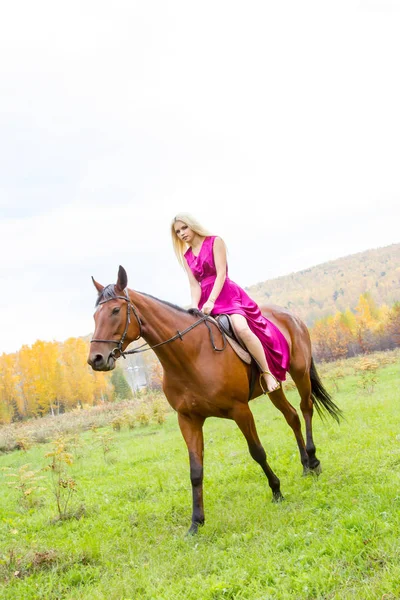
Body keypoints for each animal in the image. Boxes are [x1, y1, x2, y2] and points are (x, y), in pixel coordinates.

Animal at [87, 266, 340, 536]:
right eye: (95, 315)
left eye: (115, 310)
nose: (96, 359)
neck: (192, 355)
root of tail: (290, 316)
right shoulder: (188, 419)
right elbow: (195, 471)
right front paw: (196, 523)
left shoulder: (240, 411)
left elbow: (257, 452)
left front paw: (277, 491)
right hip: (274, 387)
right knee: (292, 416)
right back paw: (305, 466)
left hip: (300, 373)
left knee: (306, 408)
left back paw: (313, 461)